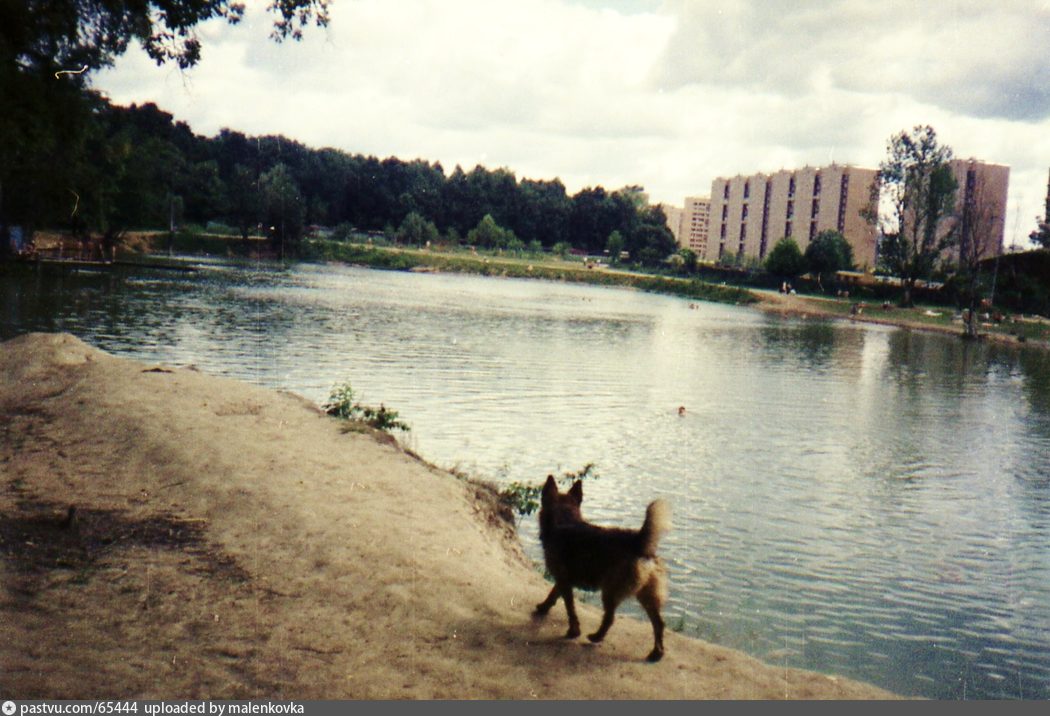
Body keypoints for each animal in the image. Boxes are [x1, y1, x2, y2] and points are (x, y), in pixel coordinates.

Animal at [533, 470, 672, 659]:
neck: (564, 519)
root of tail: (639, 541)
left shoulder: (563, 579)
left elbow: (570, 607)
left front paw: (573, 631)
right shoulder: (563, 580)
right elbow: (553, 595)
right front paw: (544, 607)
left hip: (610, 590)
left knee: (610, 617)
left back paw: (597, 636)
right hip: (646, 595)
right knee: (658, 623)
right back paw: (657, 652)